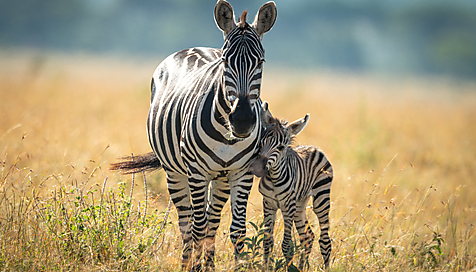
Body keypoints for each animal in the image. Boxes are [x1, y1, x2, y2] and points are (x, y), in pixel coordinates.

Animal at [251, 102, 332, 270]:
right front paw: (266, 267)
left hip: (320, 198)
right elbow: (267, 241)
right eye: (261, 142)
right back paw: (301, 268)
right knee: (308, 236)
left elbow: (287, 245)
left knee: (325, 241)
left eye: (281, 147)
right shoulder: (268, 203)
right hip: (300, 204)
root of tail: (315, 148)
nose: (256, 168)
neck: (274, 178)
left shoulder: (288, 206)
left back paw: (326, 267)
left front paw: (288, 268)